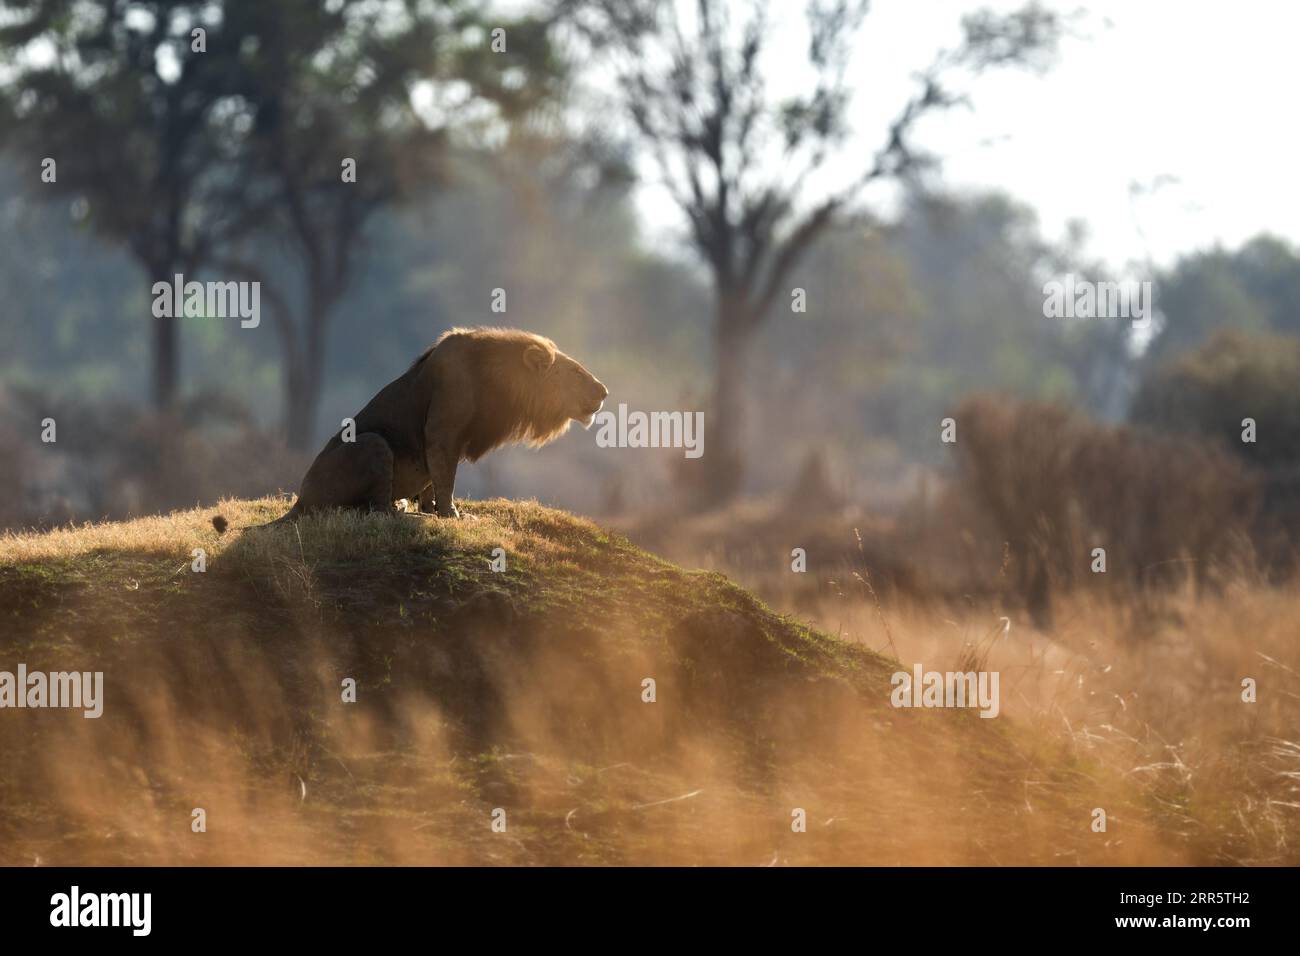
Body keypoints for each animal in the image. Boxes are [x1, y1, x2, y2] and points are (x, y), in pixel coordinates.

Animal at [247, 327, 606, 525]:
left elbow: (434, 479)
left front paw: (431, 509)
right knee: (372, 509)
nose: (604, 391)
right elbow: (445, 478)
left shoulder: (444, 443)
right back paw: (398, 511)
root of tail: (300, 500)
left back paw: (404, 505)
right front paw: (452, 515)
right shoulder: (442, 433)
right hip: (373, 443)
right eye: (576, 373)